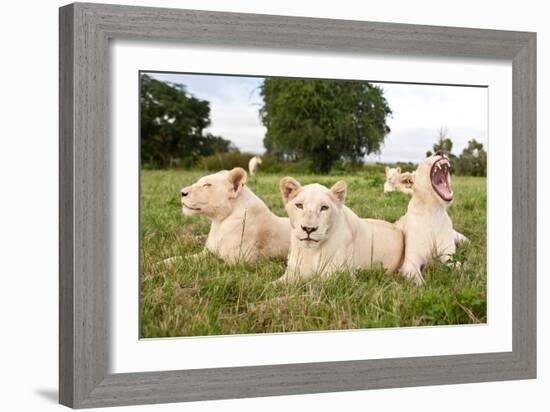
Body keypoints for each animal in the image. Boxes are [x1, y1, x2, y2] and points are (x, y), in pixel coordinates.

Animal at [396, 153, 470, 284]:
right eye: (427, 159)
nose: (440, 151)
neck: (433, 211)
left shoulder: (448, 255)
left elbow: (459, 267)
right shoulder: (410, 264)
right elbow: (420, 282)